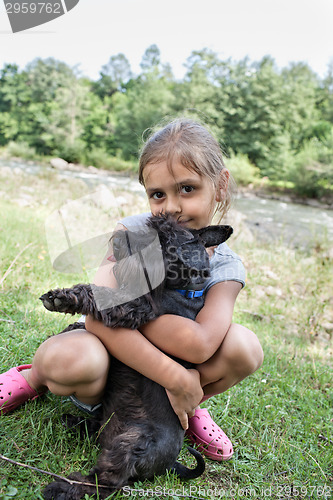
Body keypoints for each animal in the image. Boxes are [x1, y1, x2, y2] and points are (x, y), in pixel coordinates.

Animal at [40, 213, 232, 498]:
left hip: (129, 446)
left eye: (163, 240)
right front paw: (71, 322)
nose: (119, 239)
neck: (184, 287)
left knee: (109, 481)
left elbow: (100, 294)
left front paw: (62, 299)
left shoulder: (135, 307)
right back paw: (74, 421)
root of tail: (171, 465)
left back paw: (64, 487)